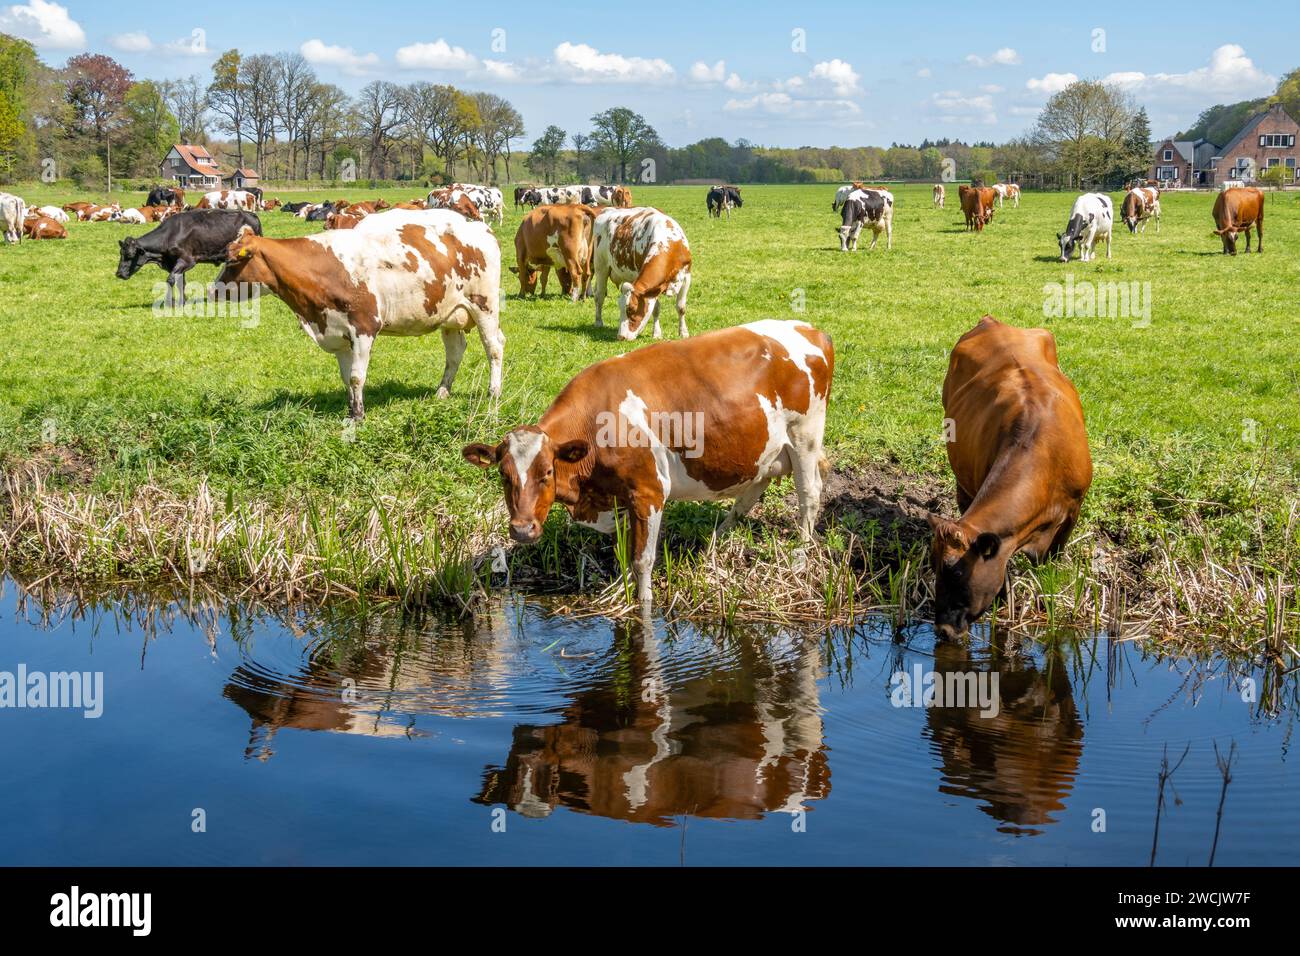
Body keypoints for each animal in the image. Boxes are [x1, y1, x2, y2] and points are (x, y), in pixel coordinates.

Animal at [115, 209, 262, 306]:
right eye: (121, 253)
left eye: (130, 255)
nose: (119, 274)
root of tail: (251, 214)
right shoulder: (176, 264)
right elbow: (181, 283)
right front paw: (183, 301)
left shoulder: (187, 260)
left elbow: (170, 280)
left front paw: (170, 302)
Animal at [218, 210, 501, 421]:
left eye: (232, 261)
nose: (213, 290)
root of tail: (480, 227)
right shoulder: (337, 333)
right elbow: (346, 378)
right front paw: (350, 410)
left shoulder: (364, 328)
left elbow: (356, 376)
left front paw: (359, 417)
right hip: (449, 314)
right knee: (455, 352)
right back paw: (442, 391)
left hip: (485, 305)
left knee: (494, 347)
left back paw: (493, 392)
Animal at [465, 321, 832, 606]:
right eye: (503, 475)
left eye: (547, 472)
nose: (522, 530)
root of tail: (811, 330)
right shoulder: (622, 499)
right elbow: (624, 554)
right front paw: (620, 588)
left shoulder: (649, 492)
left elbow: (642, 560)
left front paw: (642, 602)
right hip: (766, 449)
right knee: (750, 493)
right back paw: (715, 541)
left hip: (805, 437)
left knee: (810, 495)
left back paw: (801, 555)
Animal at [590, 208, 691, 343]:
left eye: (631, 309)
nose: (621, 337)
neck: (669, 242)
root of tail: (608, 210)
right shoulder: (650, 288)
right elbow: (655, 309)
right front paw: (656, 333)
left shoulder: (686, 278)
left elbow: (681, 307)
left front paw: (683, 332)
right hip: (601, 267)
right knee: (599, 296)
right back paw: (598, 322)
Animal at [930, 317, 1092, 639]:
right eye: (933, 567)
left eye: (956, 571)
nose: (942, 629)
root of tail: (991, 321)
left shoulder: (1074, 509)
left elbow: (1054, 556)